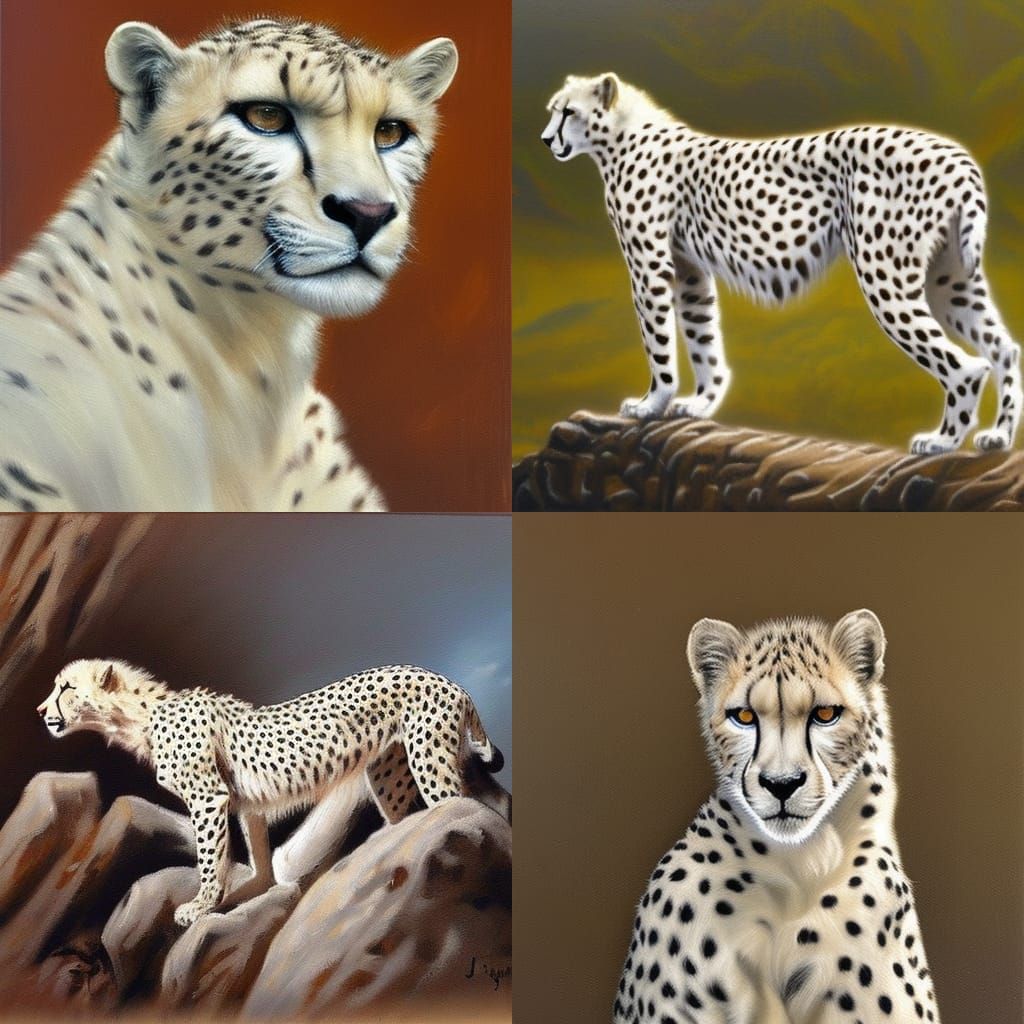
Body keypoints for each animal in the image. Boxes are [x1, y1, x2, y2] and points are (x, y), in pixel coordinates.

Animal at [37, 658, 503, 927]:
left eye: (66, 688)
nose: (41, 711)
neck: (139, 717)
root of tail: (445, 678)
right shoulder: (246, 805)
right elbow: (258, 856)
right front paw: (251, 891)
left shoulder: (208, 799)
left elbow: (210, 860)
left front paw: (201, 906)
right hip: (392, 775)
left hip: (429, 761)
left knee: (458, 806)